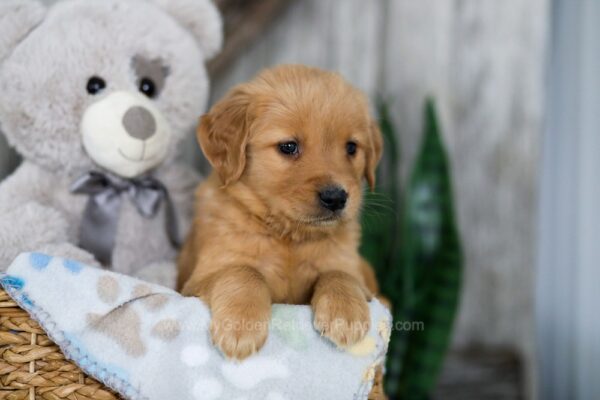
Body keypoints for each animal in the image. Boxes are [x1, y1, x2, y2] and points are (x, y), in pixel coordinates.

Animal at [179, 65, 384, 360]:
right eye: (288, 146)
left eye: (351, 148)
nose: (336, 198)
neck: (289, 236)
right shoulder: (195, 283)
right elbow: (243, 271)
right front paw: (241, 326)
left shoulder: (355, 275)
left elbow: (339, 274)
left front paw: (345, 313)